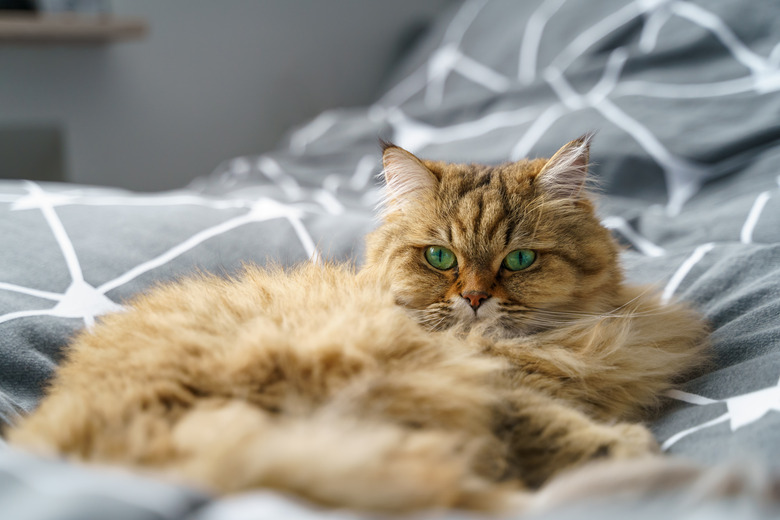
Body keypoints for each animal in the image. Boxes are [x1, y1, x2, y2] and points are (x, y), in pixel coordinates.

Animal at [7, 136, 708, 512]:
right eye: (439, 258)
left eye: (519, 260)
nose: (475, 299)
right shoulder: (494, 385)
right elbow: (550, 422)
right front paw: (620, 445)